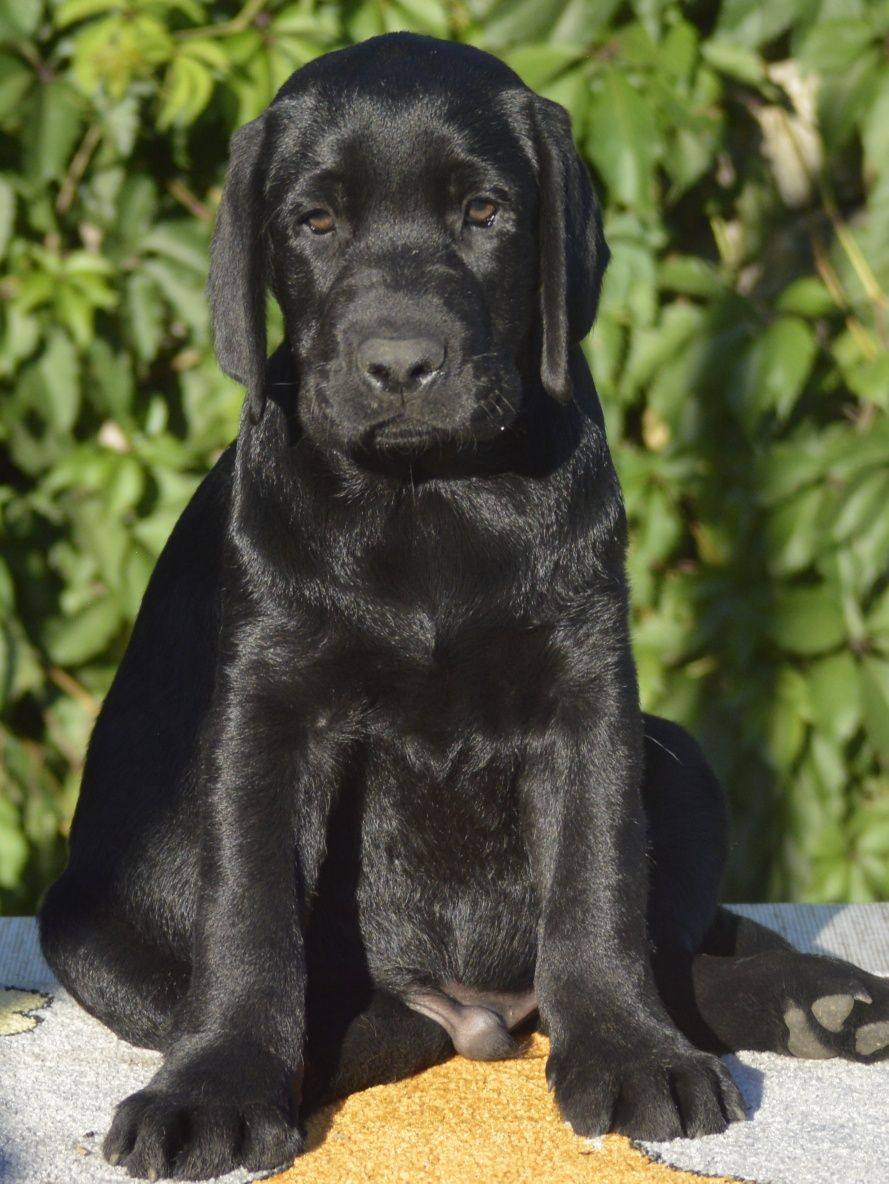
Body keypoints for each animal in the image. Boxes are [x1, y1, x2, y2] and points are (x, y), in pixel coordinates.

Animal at [39, 32, 889, 1179]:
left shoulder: (589, 690)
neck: (432, 495)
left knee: (674, 943)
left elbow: (595, 887)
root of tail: (482, 1006)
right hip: (86, 924)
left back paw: (820, 1002)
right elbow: (248, 915)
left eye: (484, 211)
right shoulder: (268, 708)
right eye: (315, 222)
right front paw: (214, 1083)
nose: (400, 363)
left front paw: (627, 1050)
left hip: (682, 758)